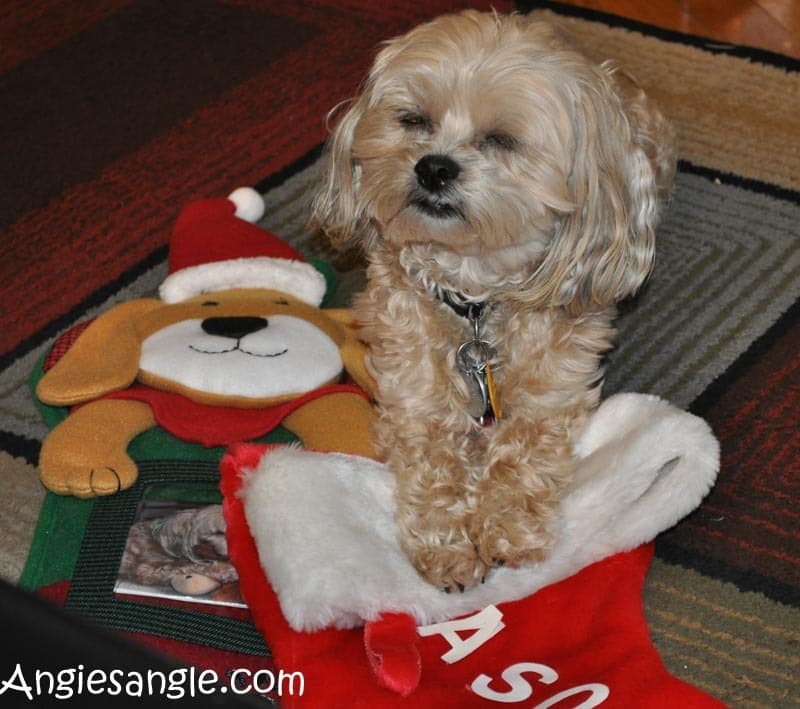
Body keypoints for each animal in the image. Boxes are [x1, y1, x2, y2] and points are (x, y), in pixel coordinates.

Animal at [310, 11, 680, 592]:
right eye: (413, 120)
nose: (433, 168)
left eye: (502, 139)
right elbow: (432, 452)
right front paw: (448, 545)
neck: (476, 297)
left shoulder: (554, 385)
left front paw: (506, 526)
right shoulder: (412, 381)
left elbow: (523, 448)